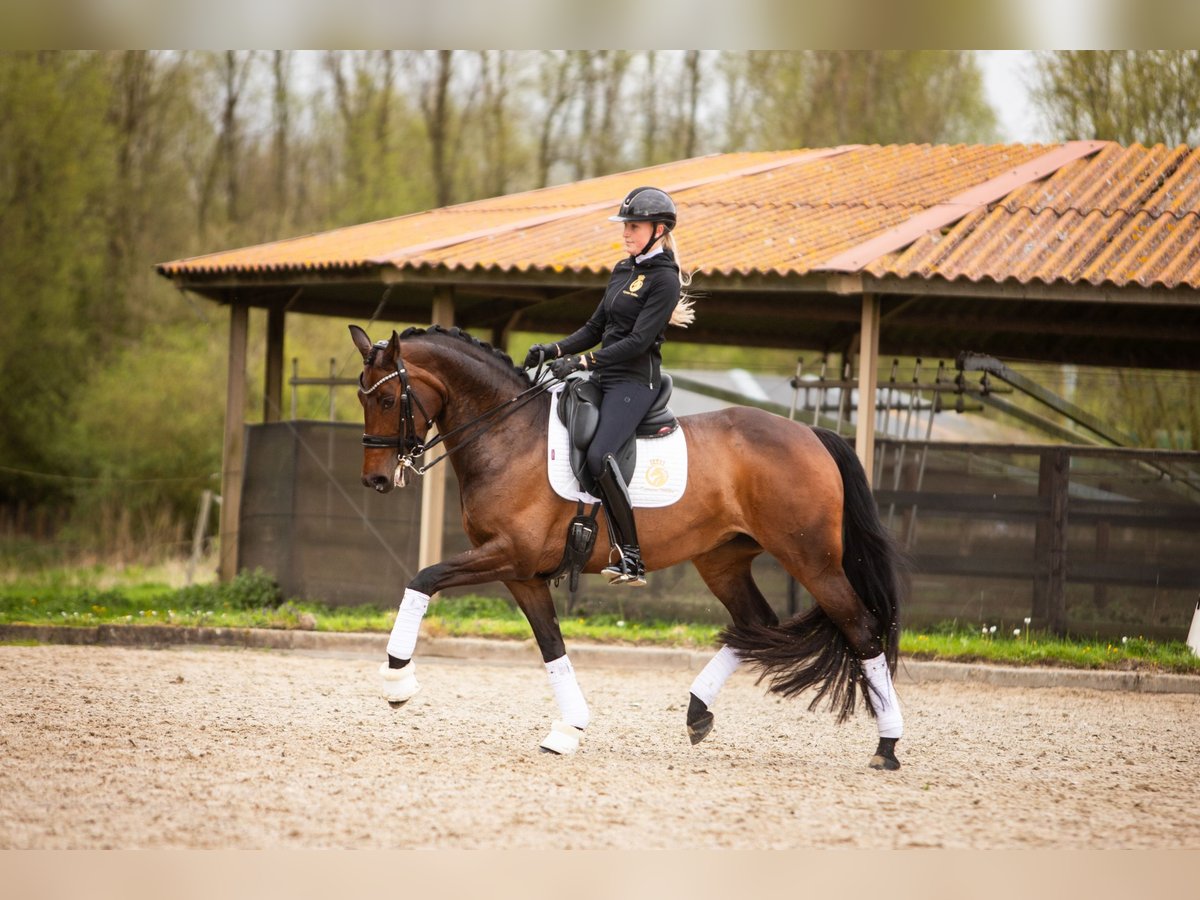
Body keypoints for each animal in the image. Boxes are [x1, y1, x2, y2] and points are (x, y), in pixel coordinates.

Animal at [350, 324, 902, 768]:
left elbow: (423, 579)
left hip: (812, 559)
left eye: (386, 400)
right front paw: (568, 730)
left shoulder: (509, 555)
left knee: (861, 629)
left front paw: (397, 680)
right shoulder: (521, 573)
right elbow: (552, 645)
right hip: (722, 559)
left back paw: (887, 747)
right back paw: (697, 712)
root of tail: (810, 432)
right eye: (361, 398)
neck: (508, 434)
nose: (376, 480)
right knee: (756, 623)